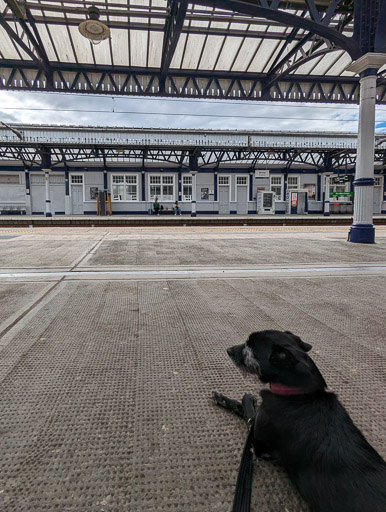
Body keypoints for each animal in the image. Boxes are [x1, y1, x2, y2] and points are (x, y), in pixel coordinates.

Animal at [214, 330, 386, 512]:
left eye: (251, 348)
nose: (228, 350)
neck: (297, 393)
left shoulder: (258, 444)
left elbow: (246, 411)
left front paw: (230, 399)